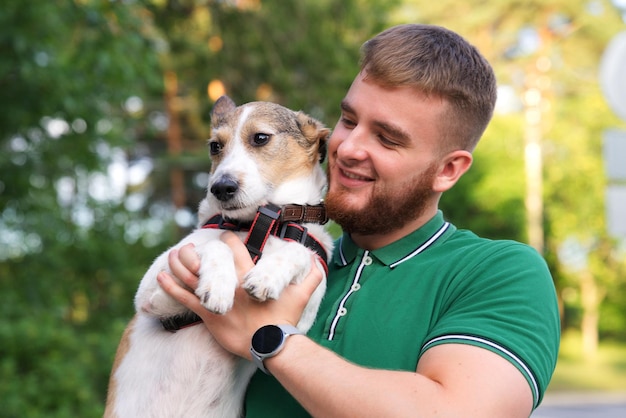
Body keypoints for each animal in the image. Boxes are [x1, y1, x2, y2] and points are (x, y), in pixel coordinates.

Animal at [105, 96, 332, 416]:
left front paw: (267, 275)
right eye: (215, 146)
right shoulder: (152, 293)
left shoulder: (304, 313)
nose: (221, 187)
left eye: (260, 138)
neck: (264, 222)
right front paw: (219, 286)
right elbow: (217, 245)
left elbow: (299, 251)